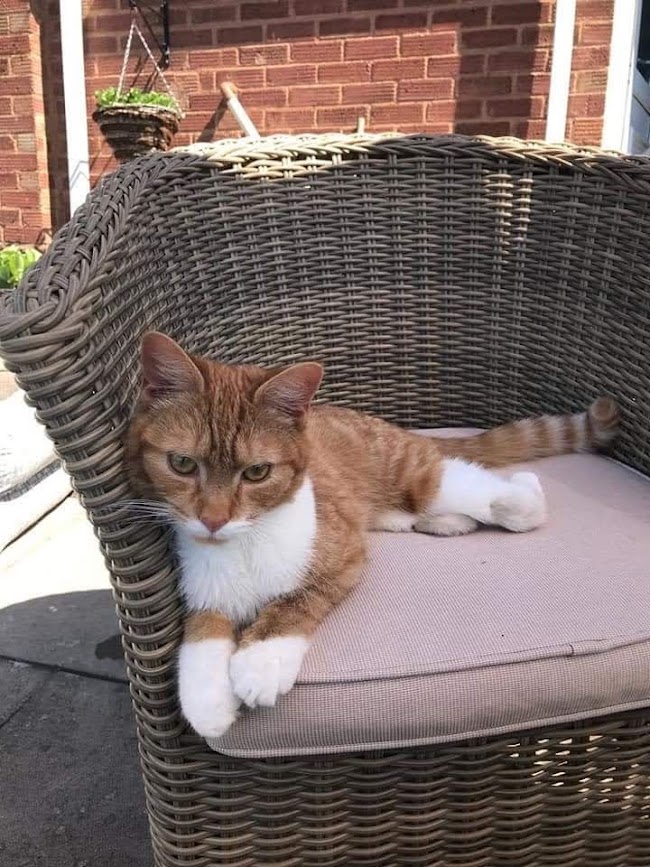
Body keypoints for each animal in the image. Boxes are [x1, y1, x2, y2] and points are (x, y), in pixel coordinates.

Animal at [126, 334, 616, 740]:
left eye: (257, 472)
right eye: (182, 464)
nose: (213, 519)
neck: (245, 541)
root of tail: (396, 429)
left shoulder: (343, 555)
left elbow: (297, 600)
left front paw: (261, 662)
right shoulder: (205, 588)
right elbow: (203, 628)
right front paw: (207, 699)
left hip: (420, 477)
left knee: (488, 490)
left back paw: (518, 493)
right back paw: (443, 522)